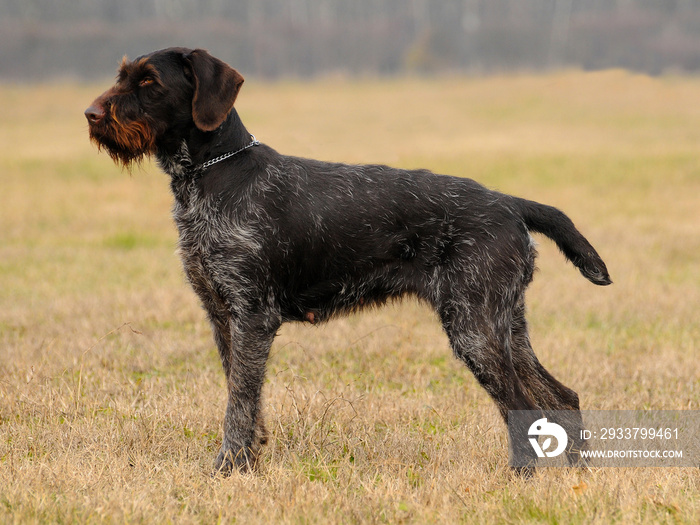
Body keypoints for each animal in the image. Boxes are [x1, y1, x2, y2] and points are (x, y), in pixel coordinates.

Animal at [85, 48, 608, 474]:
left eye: (149, 81)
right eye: (122, 75)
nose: (90, 114)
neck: (213, 173)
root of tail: (508, 202)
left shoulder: (253, 314)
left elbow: (239, 401)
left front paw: (228, 468)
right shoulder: (221, 314)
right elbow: (244, 396)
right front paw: (250, 460)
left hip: (473, 327)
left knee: (522, 404)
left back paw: (523, 477)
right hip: (504, 323)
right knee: (561, 397)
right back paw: (575, 474)